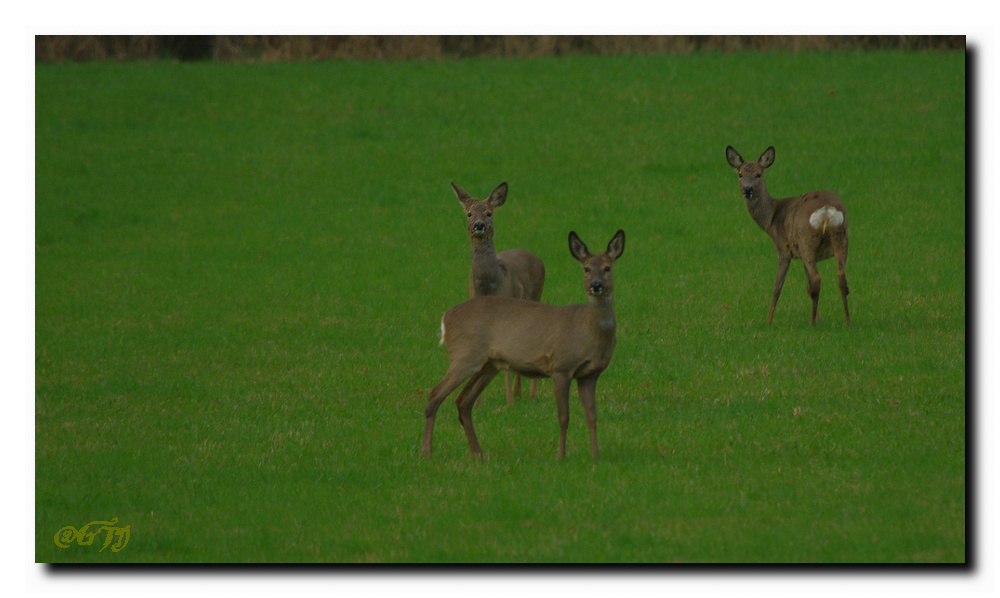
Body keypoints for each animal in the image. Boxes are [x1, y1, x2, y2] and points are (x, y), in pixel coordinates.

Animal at [422, 232, 624, 462]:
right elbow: (564, 416)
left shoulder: (590, 374)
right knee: (436, 393)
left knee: (463, 401)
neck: (589, 333)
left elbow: (592, 416)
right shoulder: (561, 366)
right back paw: (426, 452)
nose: (596, 285)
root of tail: (446, 319)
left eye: (608, 267)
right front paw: (561, 456)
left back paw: (478, 454)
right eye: (587, 268)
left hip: (488, 365)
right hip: (464, 355)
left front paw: (596, 456)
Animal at [454, 183, 548, 406]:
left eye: (489, 213)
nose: (479, 225)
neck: (488, 286)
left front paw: (509, 402)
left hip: (536, 295)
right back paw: (518, 391)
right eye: (469, 213)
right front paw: (477, 401)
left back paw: (530, 394)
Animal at [728, 148, 852, 330]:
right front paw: (819, 317)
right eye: (740, 174)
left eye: (758, 174)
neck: (771, 219)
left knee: (817, 279)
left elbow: (777, 287)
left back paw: (811, 323)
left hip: (806, 239)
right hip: (841, 236)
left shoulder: (784, 249)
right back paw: (847, 321)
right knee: (840, 277)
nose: (747, 189)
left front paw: (768, 321)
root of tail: (826, 210)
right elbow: (807, 286)